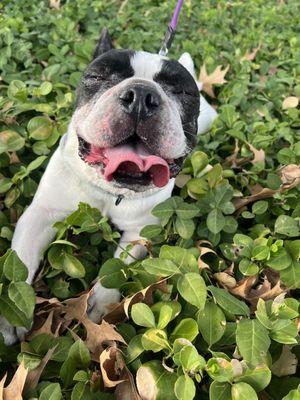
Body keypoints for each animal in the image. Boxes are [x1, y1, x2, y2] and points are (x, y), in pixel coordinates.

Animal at [0, 29, 216, 346]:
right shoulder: (41, 214)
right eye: (96, 77)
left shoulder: (140, 232)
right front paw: (12, 312)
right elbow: (22, 260)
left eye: (183, 93)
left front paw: (102, 302)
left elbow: (119, 265)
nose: (141, 96)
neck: (111, 191)